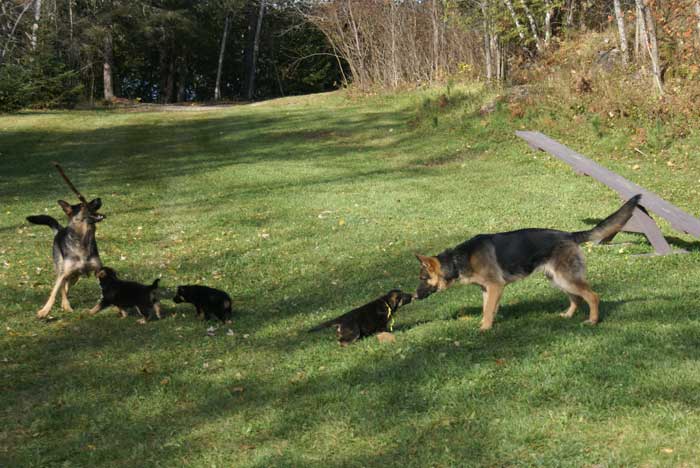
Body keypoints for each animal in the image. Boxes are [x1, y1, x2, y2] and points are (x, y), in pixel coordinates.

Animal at [412, 196, 644, 330]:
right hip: (557, 279)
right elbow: (488, 308)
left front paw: (484, 329)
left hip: (565, 278)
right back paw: (568, 315)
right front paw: (487, 324)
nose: (414, 296)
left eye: (422, 278)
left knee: (592, 296)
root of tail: (570, 235)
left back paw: (592, 321)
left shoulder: (495, 287)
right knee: (577, 298)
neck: (458, 259)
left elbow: (488, 310)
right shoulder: (487, 290)